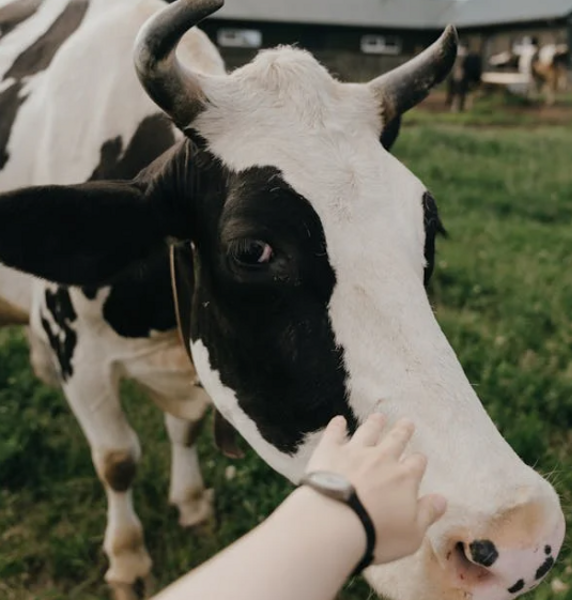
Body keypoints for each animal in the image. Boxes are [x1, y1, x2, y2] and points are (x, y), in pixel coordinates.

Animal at [0, 1, 564, 600]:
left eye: (428, 226)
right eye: (252, 250)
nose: (521, 537)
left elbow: (184, 429)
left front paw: (192, 504)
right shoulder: (78, 357)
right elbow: (117, 460)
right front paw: (128, 561)